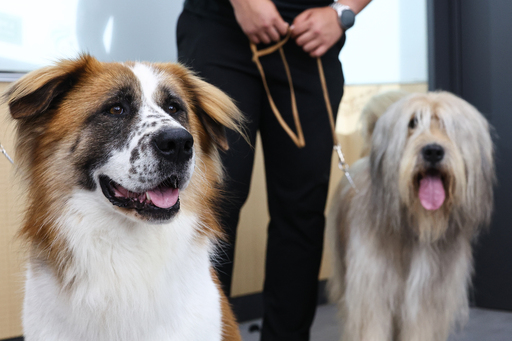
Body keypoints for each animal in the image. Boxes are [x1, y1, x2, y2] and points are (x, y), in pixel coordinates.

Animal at [328, 91, 496, 340]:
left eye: (449, 125)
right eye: (413, 123)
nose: (433, 151)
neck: (418, 226)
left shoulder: (426, 305)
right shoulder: (372, 298)